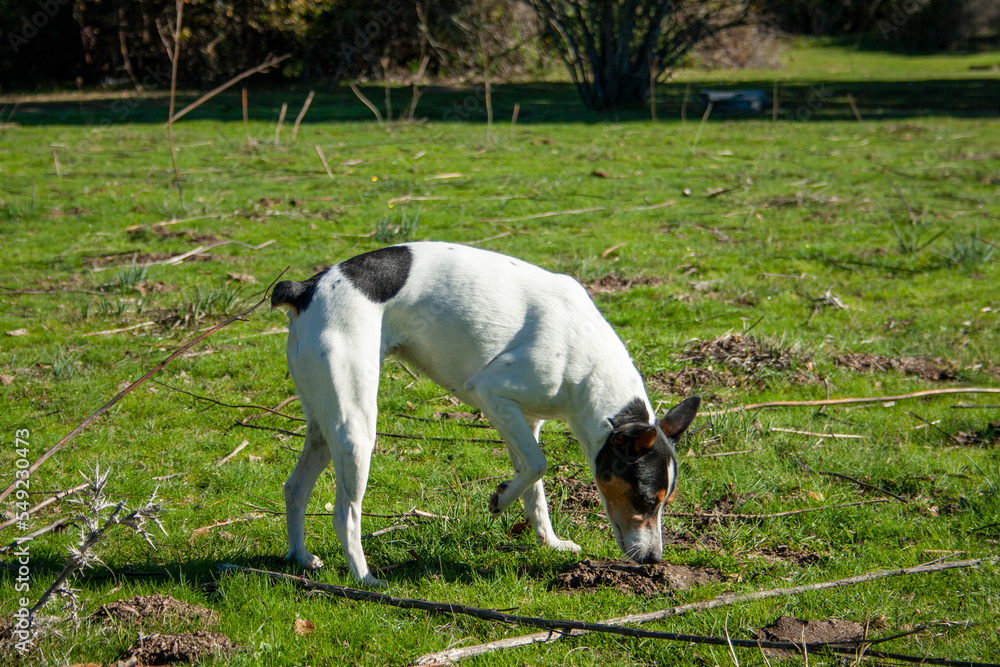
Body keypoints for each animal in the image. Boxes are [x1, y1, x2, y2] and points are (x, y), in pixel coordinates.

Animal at [270, 243, 700, 588]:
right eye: (645, 499)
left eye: (663, 502)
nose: (654, 560)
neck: (588, 362)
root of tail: (307, 287)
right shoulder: (489, 391)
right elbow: (539, 465)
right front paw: (500, 499)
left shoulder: (525, 421)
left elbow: (534, 487)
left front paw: (549, 541)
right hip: (356, 430)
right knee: (345, 514)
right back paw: (364, 578)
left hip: (323, 428)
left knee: (294, 488)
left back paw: (300, 557)